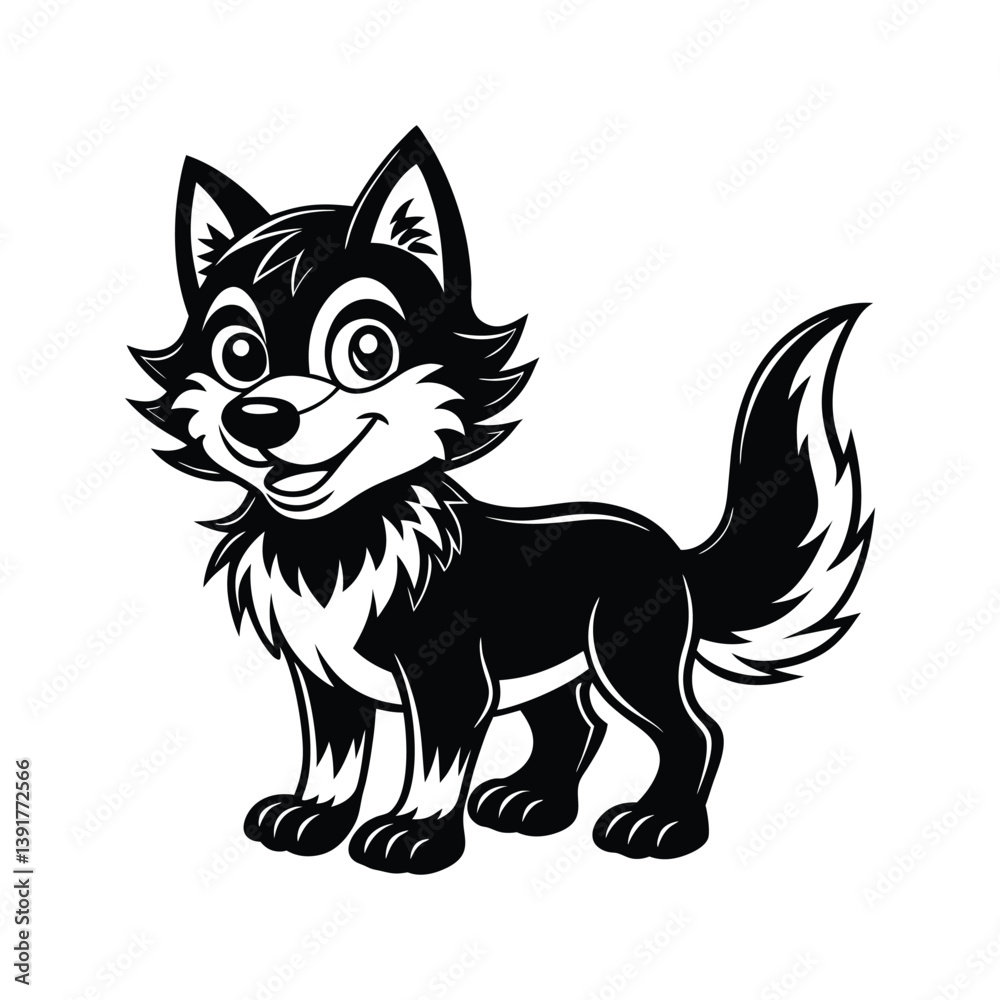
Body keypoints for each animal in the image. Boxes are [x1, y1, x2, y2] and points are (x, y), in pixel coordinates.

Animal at [129, 127, 871, 873]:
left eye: (367, 350)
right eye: (238, 356)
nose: (258, 417)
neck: (336, 539)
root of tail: (670, 549)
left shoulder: (451, 683)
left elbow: (432, 766)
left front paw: (414, 835)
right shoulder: (323, 683)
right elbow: (333, 759)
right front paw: (312, 816)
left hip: (630, 658)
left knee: (694, 732)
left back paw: (659, 823)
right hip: (555, 666)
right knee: (576, 725)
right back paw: (532, 802)